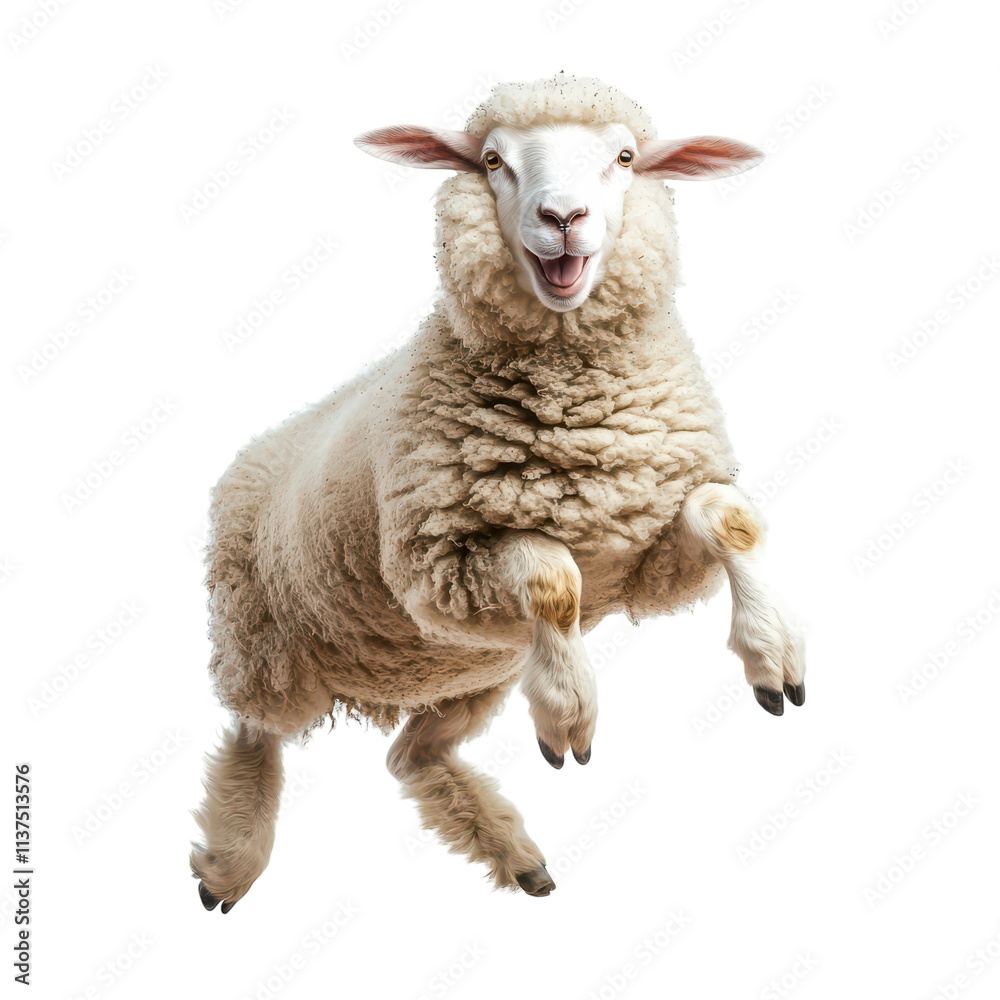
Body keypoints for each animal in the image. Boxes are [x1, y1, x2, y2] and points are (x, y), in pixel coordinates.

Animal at [190, 72, 806, 910]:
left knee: (410, 756)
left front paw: (774, 656)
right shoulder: (439, 568)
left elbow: (728, 516)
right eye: (492, 160)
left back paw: (513, 854)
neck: (579, 421)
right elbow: (552, 576)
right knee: (254, 735)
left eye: (625, 157)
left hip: (471, 668)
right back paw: (231, 858)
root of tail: (255, 449)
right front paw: (571, 710)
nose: (564, 218)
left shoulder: (643, 558)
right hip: (265, 639)